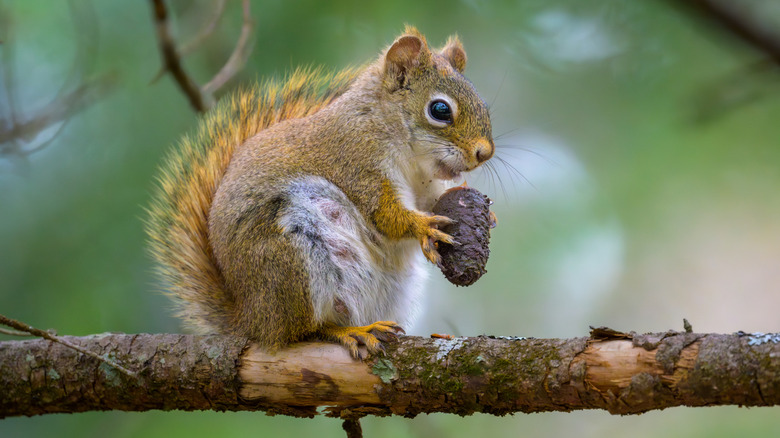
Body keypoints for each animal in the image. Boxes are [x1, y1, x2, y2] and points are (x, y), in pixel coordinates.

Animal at [146, 26, 494, 358]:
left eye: (484, 105)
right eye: (440, 109)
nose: (484, 153)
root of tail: (252, 319)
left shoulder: (423, 185)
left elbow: (430, 202)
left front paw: (484, 212)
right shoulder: (356, 162)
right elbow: (384, 214)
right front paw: (424, 226)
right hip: (292, 259)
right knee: (303, 332)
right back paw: (350, 332)